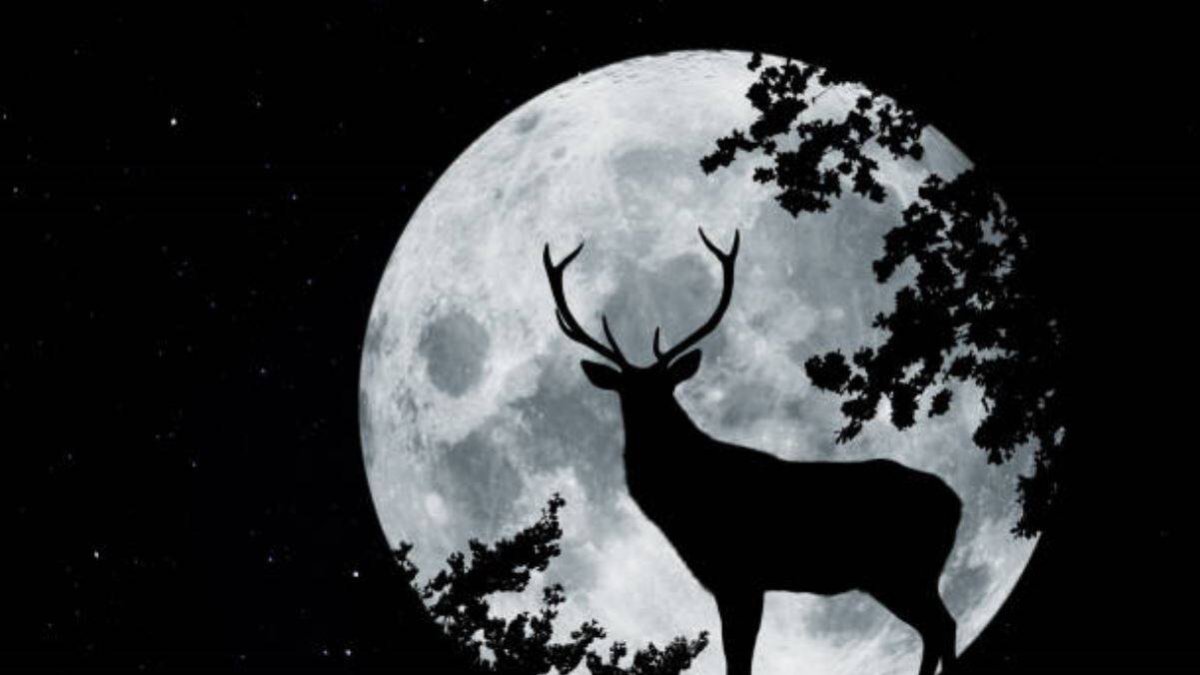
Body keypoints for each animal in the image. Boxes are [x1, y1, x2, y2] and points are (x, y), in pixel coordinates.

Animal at [543, 228, 963, 675]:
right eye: (626, 392)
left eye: (665, 387)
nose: (647, 418)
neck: (682, 502)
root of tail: (956, 503)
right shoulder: (728, 580)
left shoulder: (740, 573)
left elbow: (739, 660)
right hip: (900, 575)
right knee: (936, 628)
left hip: (901, 569)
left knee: (942, 626)